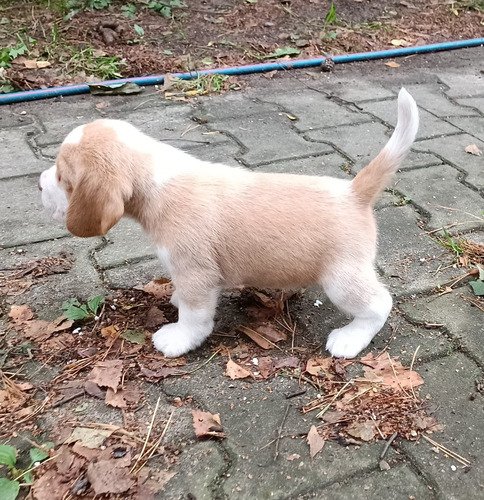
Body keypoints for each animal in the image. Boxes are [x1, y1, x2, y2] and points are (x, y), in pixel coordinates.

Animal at [38, 88, 416, 358]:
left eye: (62, 176)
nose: (39, 185)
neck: (157, 178)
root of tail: (353, 192)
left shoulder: (196, 274)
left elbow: (194, 315)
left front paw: (180, 338)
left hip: (341, 280)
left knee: (379, 304)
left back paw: (351, 338)